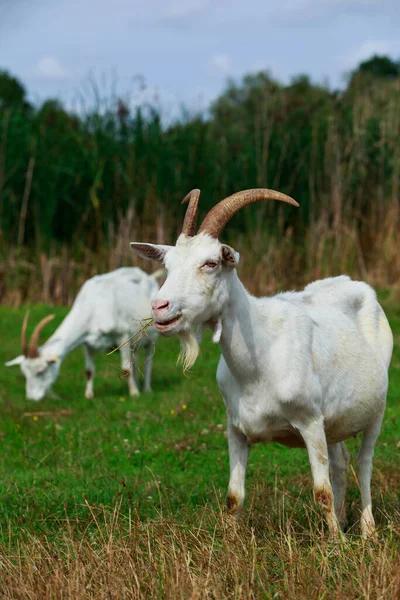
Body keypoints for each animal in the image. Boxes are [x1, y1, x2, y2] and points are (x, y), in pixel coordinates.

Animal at [5, 268, 160, 400]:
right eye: (25, 373)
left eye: (40, 371)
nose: (31, 398)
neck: (94, 306)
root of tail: (150, 278)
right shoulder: (87, 343)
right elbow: (89, 371)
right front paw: (89, 395)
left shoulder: (123, 336)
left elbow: (126, 369)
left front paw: (134, 394)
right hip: (137, 342)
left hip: (151, 337)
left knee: (148, 362)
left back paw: (147, 389)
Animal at [130, 189, 392, 540]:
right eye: (167, 265)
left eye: (211, 263)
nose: (160, 307)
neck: (259, 360)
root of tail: (358, 286)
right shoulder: (236, 429)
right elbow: (233, 497)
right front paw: (229, 543)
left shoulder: (310, 421)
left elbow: (321, 492)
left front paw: (337, 545)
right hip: (335, 423)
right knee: (341, 463)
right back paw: (345, 520)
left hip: (376, 409)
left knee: (364, 464)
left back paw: (367, 531)